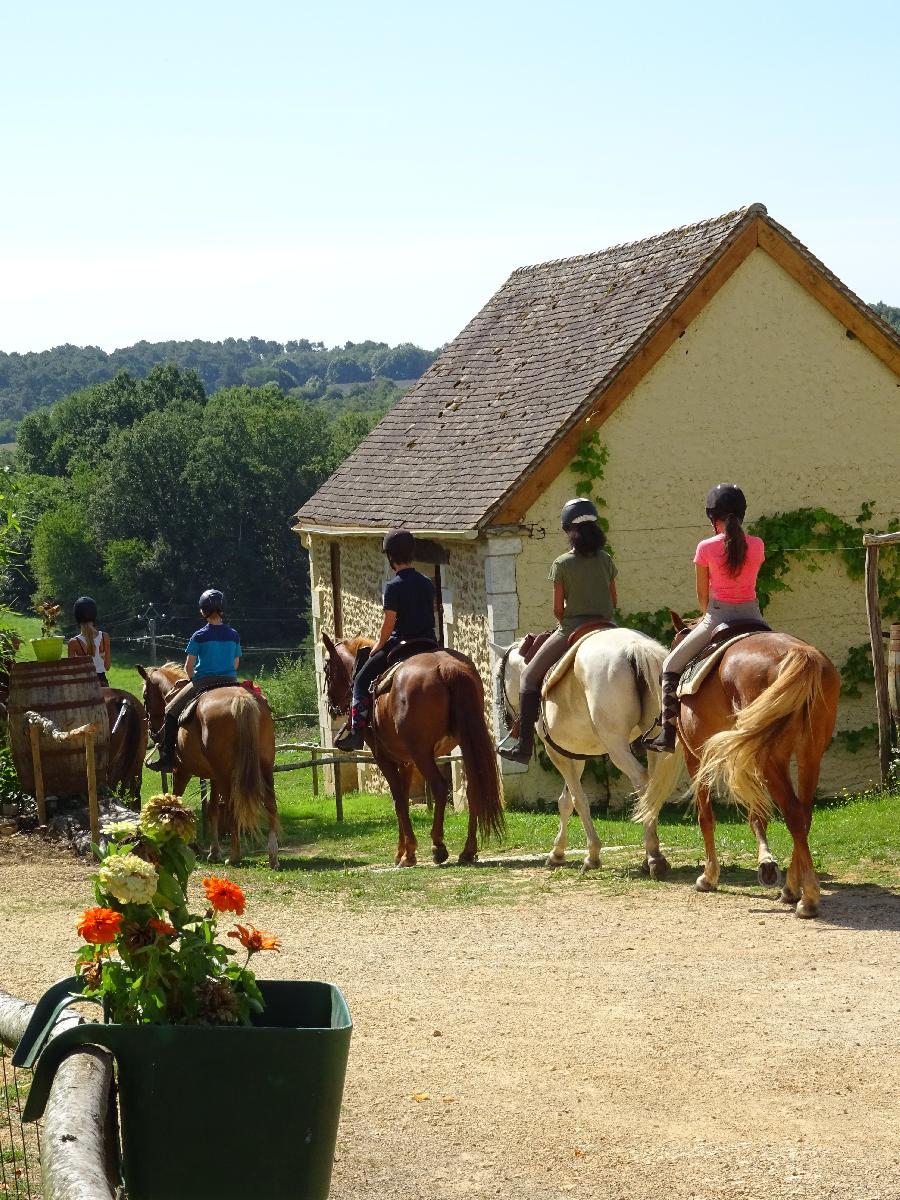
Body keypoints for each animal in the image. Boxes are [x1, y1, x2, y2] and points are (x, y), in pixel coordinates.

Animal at [135, 662, 278, 868]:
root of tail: (242, 699)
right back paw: (272, 855)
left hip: (226, 774)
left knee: (233, 807)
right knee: (270, 803)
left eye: (146, 696)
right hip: (263, 768)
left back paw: (234, 856)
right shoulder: (214, 776)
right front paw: (214, 851)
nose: (153, 732)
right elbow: (212, 810)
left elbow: (176, 803)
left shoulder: (181, 771)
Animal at [321, 633, 508, 868]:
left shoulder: (383, 757)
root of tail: (447, 668)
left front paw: (407, 853)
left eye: (327, 668)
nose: (331, 706)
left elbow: (399, 800)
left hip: (422, 753)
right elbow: (403, 798)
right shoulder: (406, 761)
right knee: (473, 788)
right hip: (465, 742)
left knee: (439, 787)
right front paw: (403, 850)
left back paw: (438, 846)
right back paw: (468, 851)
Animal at [494, 633, 681, 878]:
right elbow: (565, 801)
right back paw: (653, 854)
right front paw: (557, 853)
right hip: (654, 744)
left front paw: (592, 855)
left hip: (616, 746)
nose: (506, 720)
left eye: (498, 677)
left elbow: (578, 799)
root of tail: (635, 648)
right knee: (654, 788)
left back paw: (654, 857)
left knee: (641, 780)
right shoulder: (576, 753)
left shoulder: (557, 753)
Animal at [638, 609, 844, 916]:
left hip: (772, 758)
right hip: (809, 754)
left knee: (794, 814)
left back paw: (807, 898)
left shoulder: (695, 757)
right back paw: (792, 888)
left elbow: (706, 816)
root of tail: (801, 654)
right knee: (804, 815)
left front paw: (709, 876)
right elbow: (757, 814)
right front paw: (767, 865)